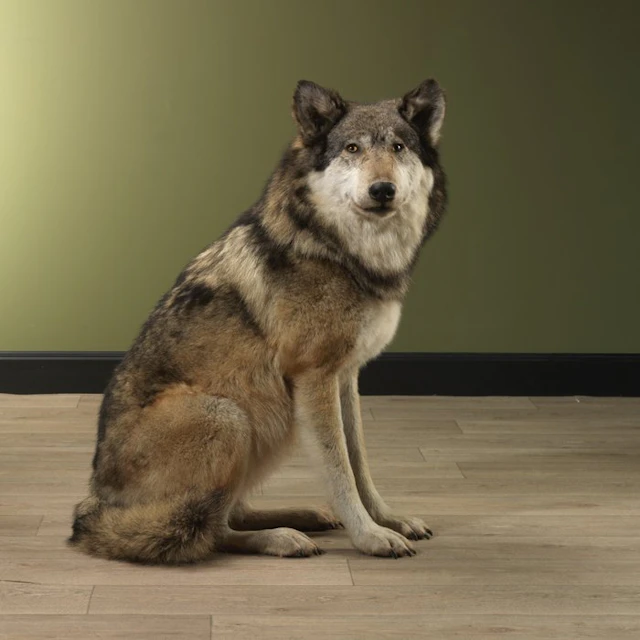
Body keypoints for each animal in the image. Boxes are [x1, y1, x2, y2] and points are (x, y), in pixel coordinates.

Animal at [69, 78, 448, 563]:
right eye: (353, 148)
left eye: (398, 147)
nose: (382, 189)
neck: (343, 254)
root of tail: (95, 504)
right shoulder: (315, 378)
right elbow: (340, 471)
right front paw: (370, 537)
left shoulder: (346, 377)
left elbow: (360, 462)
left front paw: (389, 519)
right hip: (232, 417)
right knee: (210, 530)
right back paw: (284, 538)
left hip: (268, 425)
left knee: (233, 512)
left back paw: (303, 517)